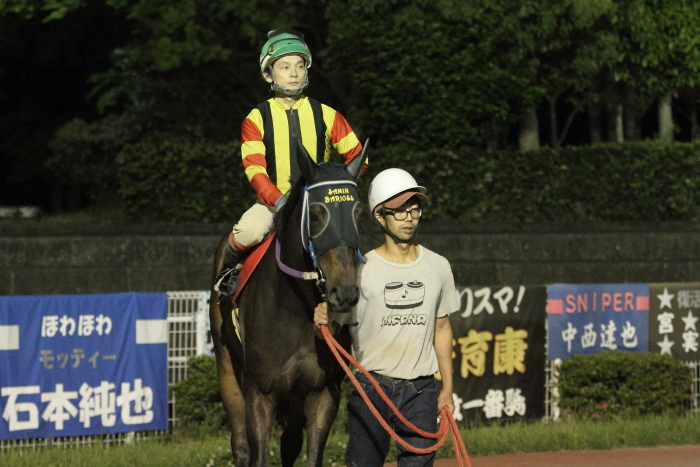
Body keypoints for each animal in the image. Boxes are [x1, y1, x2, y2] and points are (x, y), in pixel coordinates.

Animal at [208, 144, 370, 467]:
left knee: (290, 442)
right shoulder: (259, 391)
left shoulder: (323, 391)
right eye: (316, 215)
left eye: (359, 214)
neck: (294, 309)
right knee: (240, 445)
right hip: (227, 366)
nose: (344, 292)